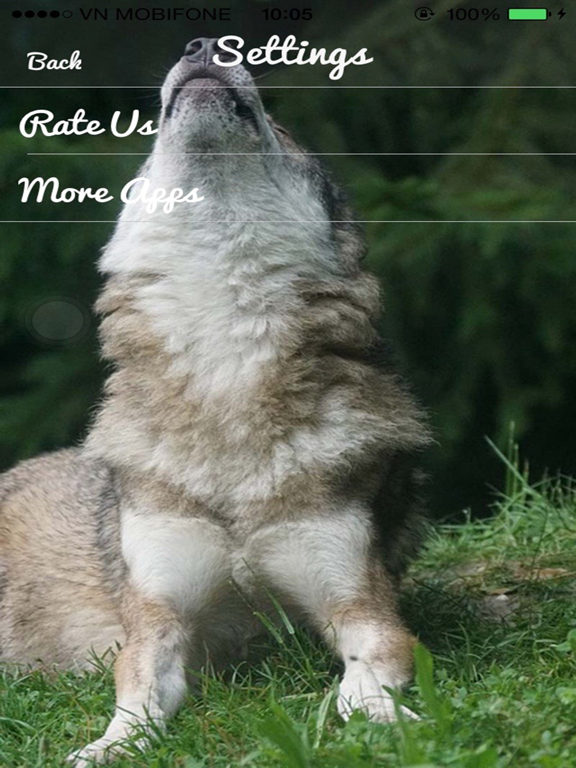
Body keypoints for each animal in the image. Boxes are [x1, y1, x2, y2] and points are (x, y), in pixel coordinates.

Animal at [0, 38, 432, 765]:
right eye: (148, 154)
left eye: (283, 129)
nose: (206, 46)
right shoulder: (157, 619)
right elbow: (135, 698)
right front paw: (105, 748)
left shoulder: (362, 605)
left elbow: (370, 667)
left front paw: (381, 718)